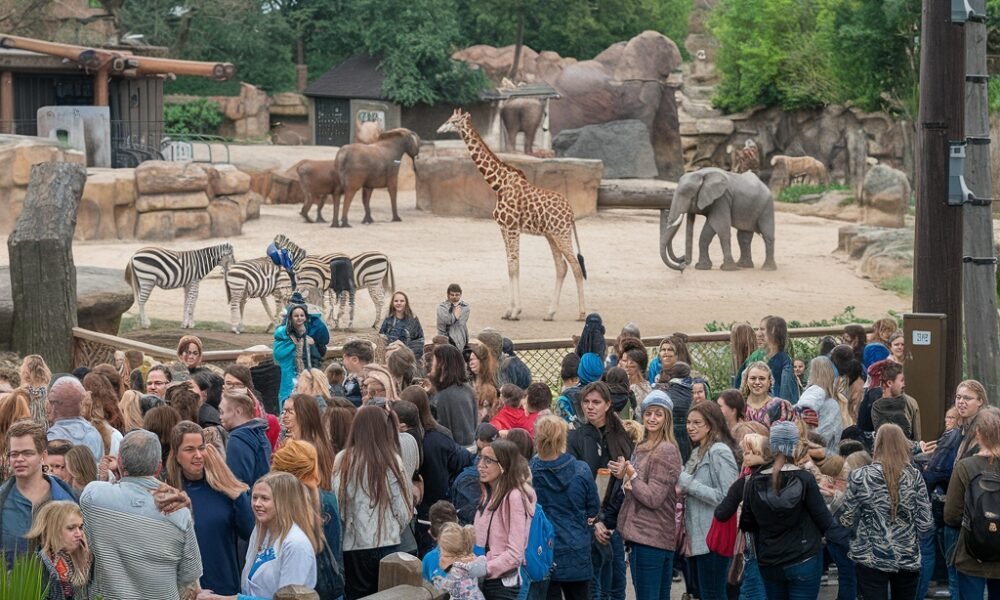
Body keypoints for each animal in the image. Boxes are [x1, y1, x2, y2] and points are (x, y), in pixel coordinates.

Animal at [436, 109, 584, 322]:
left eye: (453, 121)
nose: (439, 129)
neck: (498, 184)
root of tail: (571, 212)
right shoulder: (504, 228)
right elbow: (511, 265)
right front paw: (509, 311)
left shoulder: (512, 227)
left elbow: (514, 265)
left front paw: (515, 312)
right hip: (551, 235)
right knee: (561, 267)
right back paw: (550, 313)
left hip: (561, 233)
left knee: (576, 267)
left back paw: (581, 314)